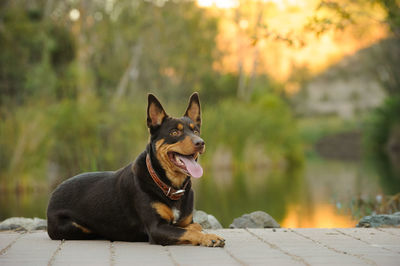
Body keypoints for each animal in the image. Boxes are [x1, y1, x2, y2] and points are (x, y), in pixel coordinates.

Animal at [47, 92, 225, 246]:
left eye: (195, 131)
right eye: (174, 132)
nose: (200, 142)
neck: (170, 186)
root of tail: (54, 193)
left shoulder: (185, 221)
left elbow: (195, 226)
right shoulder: (156, 229)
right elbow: (188, 231)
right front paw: (210, 237)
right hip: (74, 227)